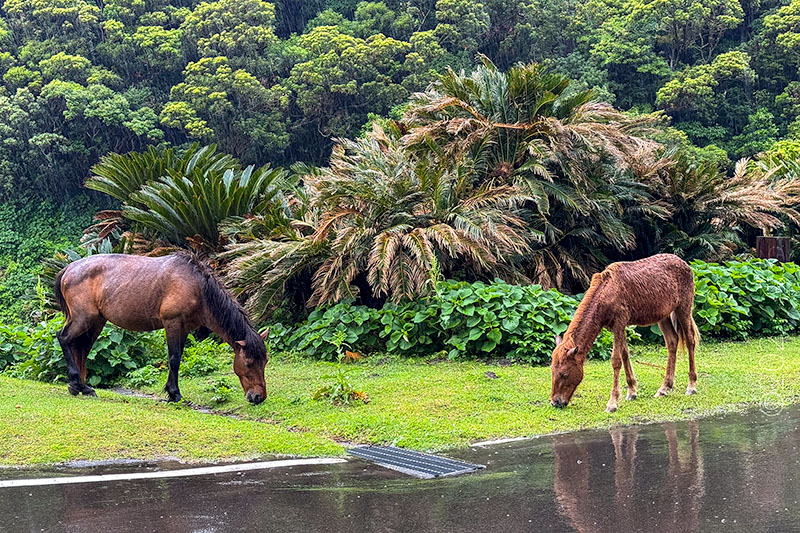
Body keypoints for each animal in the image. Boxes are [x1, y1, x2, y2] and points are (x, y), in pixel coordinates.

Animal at [56, 252, 270, 404]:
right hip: (83, 319)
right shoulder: (172, 323)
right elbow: (174, 359)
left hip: (96, 322)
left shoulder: (184, 328)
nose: (258, 397)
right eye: (248, 363)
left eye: (265, 361)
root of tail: (69, 268)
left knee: (82, 349)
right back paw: (76, 383)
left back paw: (82, 387)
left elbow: (178, 358)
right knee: (63, 338)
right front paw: (175, 394)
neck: (196, 287)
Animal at [552, 254, 700, 412]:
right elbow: (625, 355)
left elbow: (616, 360)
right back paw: (664, 388)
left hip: (683, 308)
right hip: (663, 316)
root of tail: (686, 265)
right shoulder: (618, 326)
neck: (605, 293)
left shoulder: (619, 322)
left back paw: (691, 386)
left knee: (690, 340)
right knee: (672, 341)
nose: (555, 402)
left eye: (564, 373)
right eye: (552, 370)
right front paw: (632, 391)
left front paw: (612, 402)